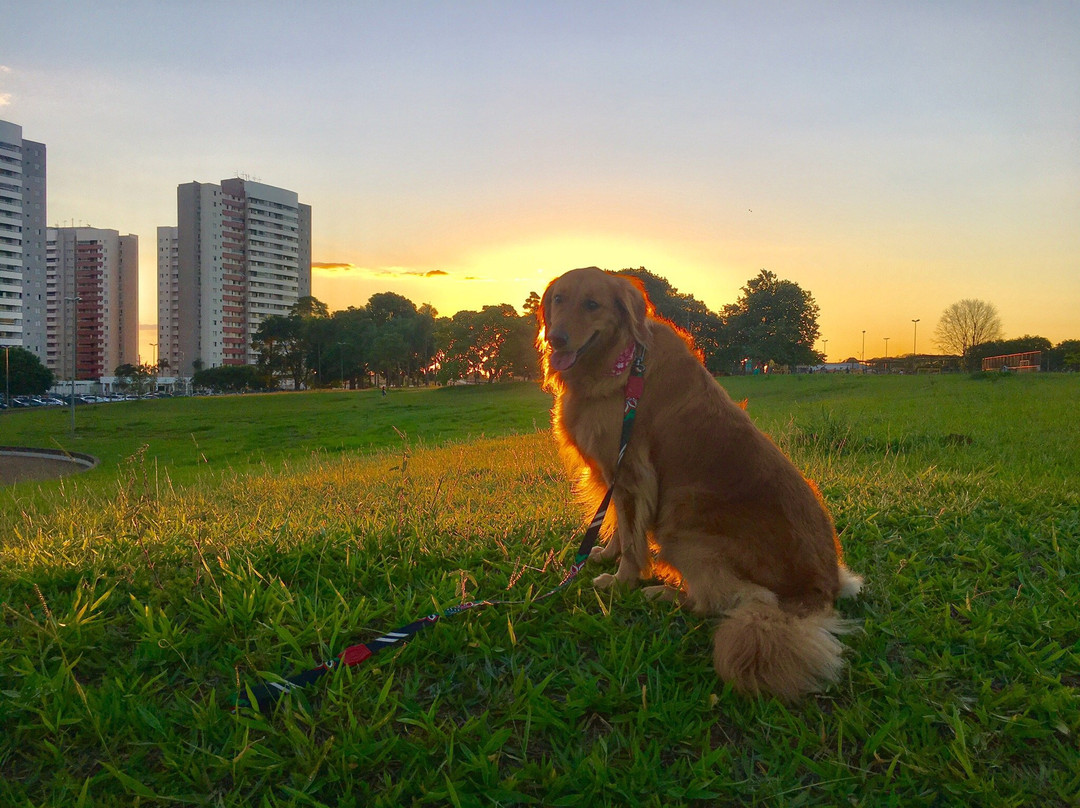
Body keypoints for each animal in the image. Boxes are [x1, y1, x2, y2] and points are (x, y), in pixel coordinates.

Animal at [537, 267, 859, 695]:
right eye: (558, 299)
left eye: (592, 304)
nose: (556, 338)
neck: (620, 363)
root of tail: (820, 588)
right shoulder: (616, 474)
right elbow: (619, 525)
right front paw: (605, 553)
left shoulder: (633, 473)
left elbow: (633, 539)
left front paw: (622, 580)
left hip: (682, 527)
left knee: (736, 600)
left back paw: (662, 593)